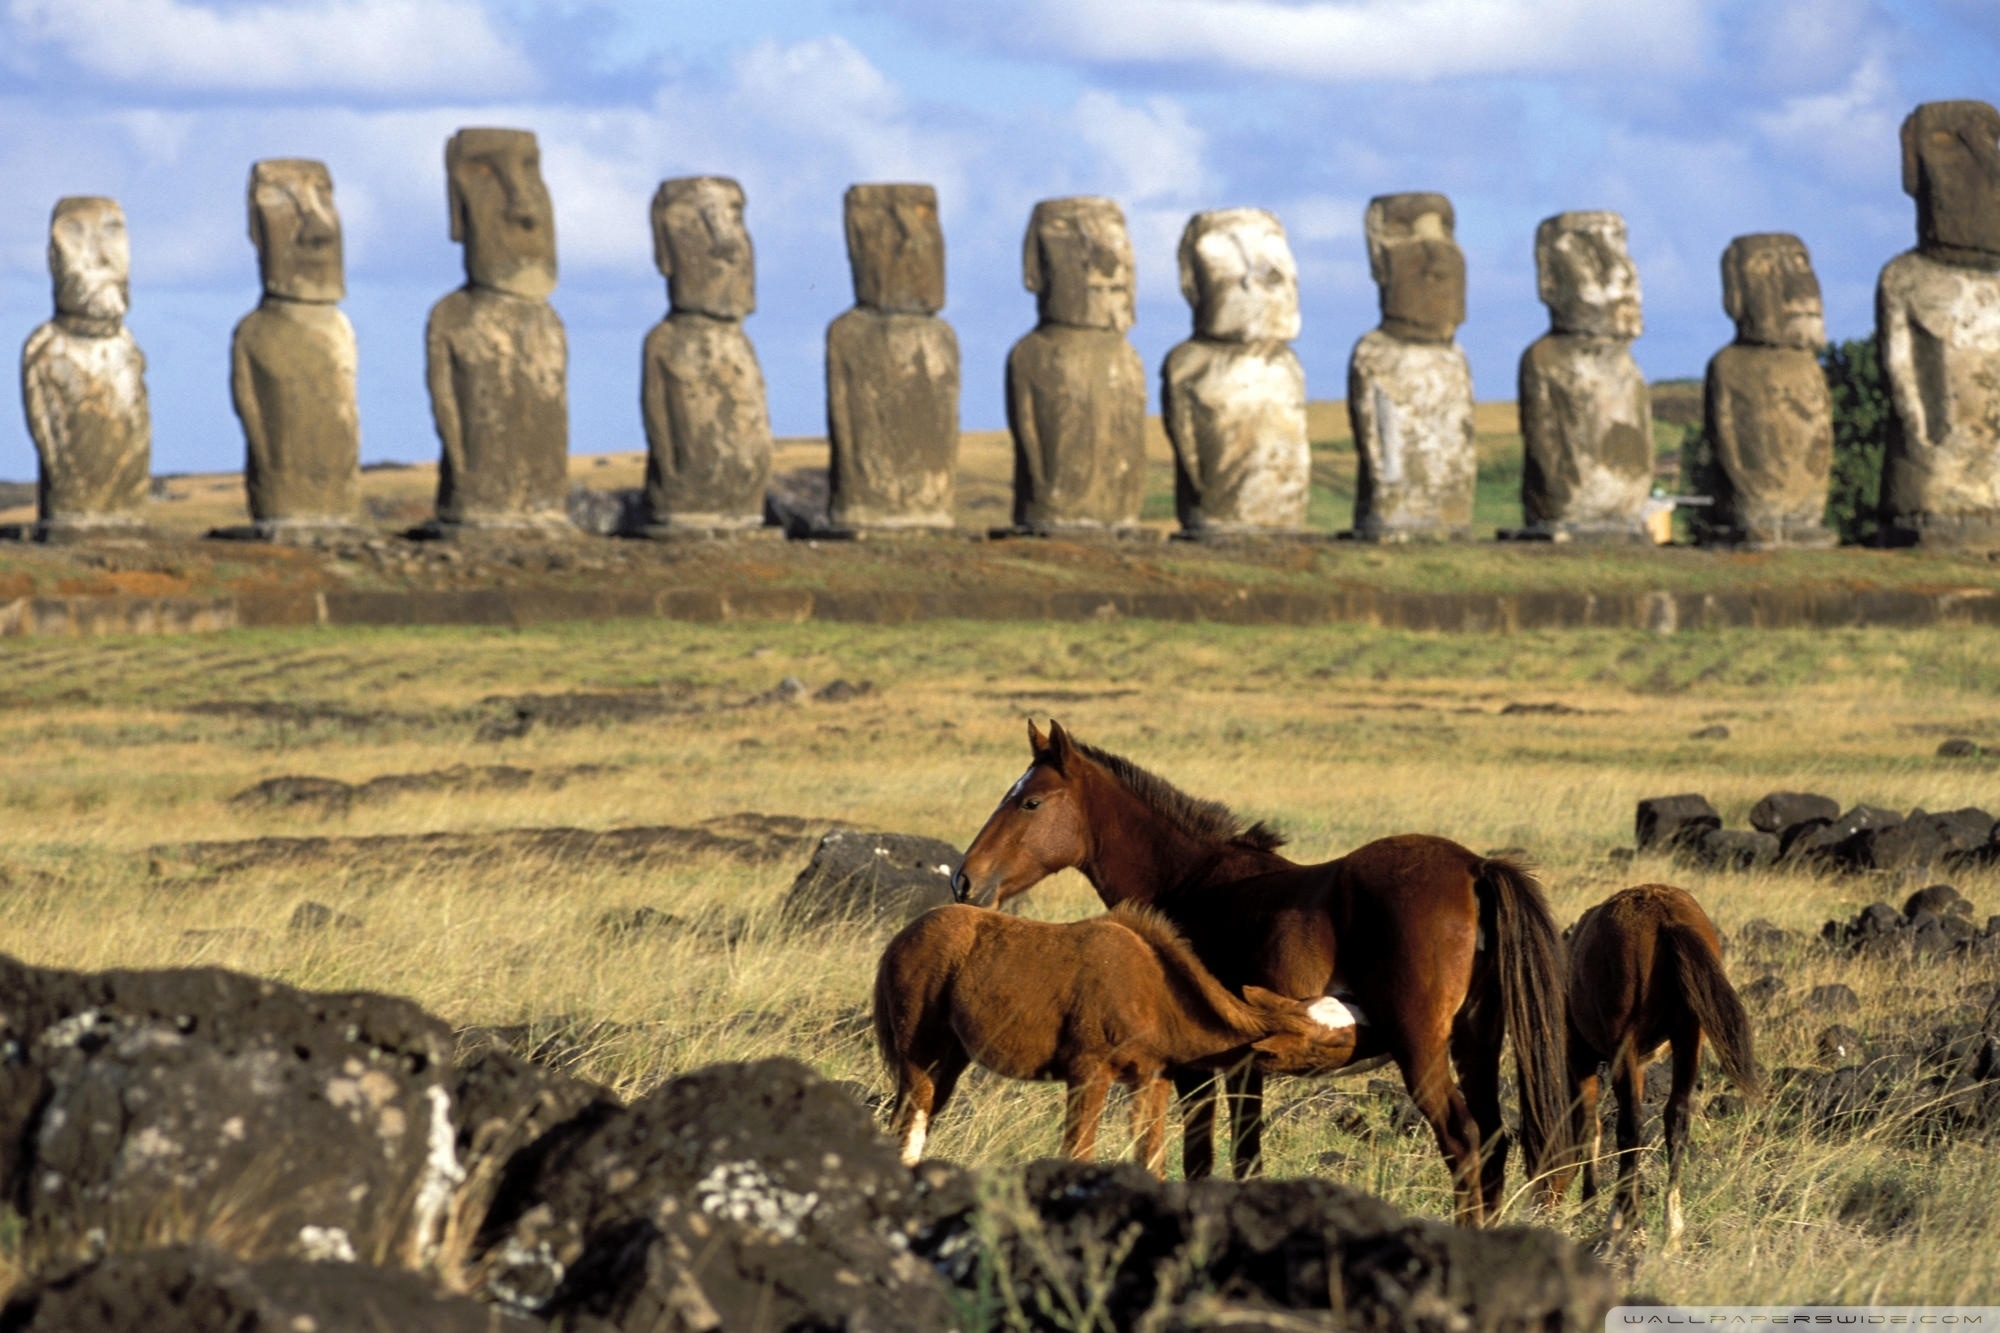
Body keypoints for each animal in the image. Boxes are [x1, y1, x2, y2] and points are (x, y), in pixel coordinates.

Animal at [876, 896, 1360, 1168]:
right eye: (1335, 1041)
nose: (1372, 1038)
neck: (1155, 994)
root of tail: (899, 939)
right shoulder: (1088, 1072)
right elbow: (1078, 1152)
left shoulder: (1152, 1078)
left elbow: (1151, 1158)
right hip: (918, 1049)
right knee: (911, 1121)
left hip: (951, 1056)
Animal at [944, 720, 1568, 1216]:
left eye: (1030, 802)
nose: (965, 881)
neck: (1187, 882)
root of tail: (1474, 867)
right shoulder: (1246, 1066)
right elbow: (1245, 1157)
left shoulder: (1195, 1068)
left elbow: (1201, 1157)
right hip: (1475, 1042)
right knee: (1493, 1144)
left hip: (1422, 1050)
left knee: (1463, 1142)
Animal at [1544, 876, 1768, 1240]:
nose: (1542, 1203)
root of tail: (1665, 917)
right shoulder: (1636, 1064)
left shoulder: (1581, 1060)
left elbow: (1590, 1127)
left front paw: (1591, 1204)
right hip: (1688, 1037)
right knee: (1676, 1117)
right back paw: (1671, 1225)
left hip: (1626, 1043)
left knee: (1630, 1125)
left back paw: (1625, 1217)